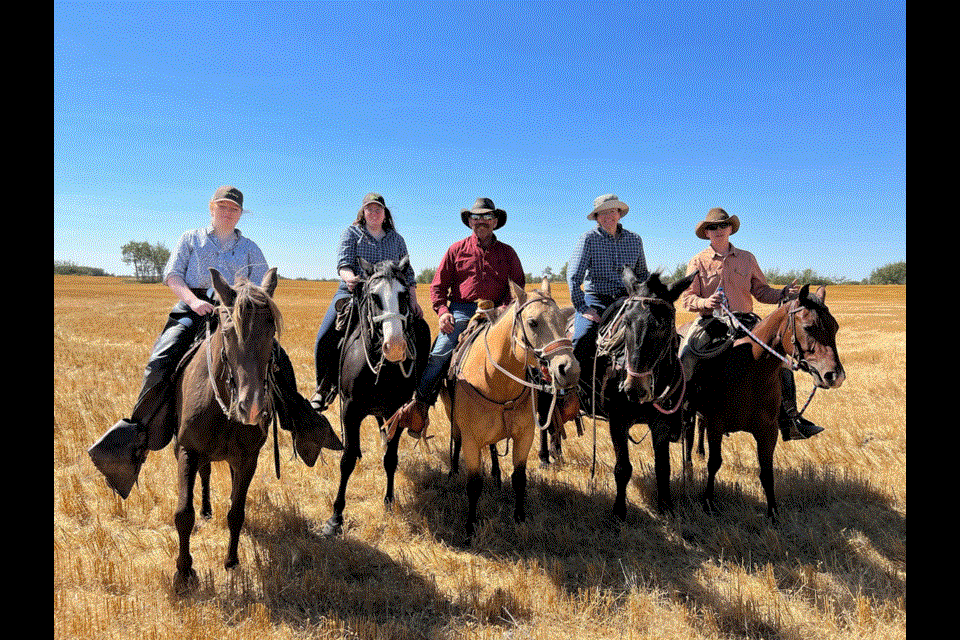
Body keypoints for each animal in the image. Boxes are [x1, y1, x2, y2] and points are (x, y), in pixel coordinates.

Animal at [172, 266, 282, 596]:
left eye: (271, 330)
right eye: (229, 331)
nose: (253, 407)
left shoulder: (247, 458)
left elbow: (236, 511)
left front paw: (231, 561)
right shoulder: (187, 449)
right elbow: (183, 514)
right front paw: (184, 571)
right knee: (205, 474)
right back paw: (206, 509)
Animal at [320, 258, 430, 536]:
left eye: (404, 295)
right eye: (374, 296)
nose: (396, 347)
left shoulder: (398, 411)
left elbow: (390, 459)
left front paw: (389, 503)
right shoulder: (350, 410)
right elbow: (347, 459)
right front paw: (335, 517)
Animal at [440, 278, 576, 544]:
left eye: (564, 321)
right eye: (533, 322)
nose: (569, 369)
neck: (493, 379)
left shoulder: (524, 436)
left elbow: (520, 479)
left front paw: (520, 518)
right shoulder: (472, 441)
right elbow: (473, 484)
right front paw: (470, 527)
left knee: (493, 447)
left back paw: (495, 474)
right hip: (453, 417)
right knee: (456, 440)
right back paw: (453, 471)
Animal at [688, 284, 848, 520]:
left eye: (835, 327)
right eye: (808, 327)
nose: (834, 376)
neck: (750, 369)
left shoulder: (768, 431)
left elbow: (766, 472)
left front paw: (773, 514)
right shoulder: (716, 424)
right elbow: (714, 463)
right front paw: (708, 503)